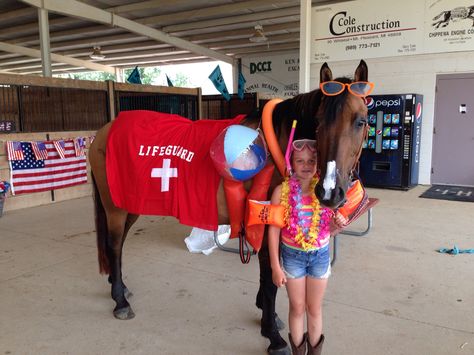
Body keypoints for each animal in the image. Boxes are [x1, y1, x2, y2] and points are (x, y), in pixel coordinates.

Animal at [88, 59, 370, 354]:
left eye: (361, 121)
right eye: (318, 121)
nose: (330, 191)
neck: (278, 144)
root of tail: (103, 133)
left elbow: (267, 278)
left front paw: (268, 317)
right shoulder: (264, 222)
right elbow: (269, 280)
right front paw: (273, 335)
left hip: (129, 205)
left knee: (117, 244)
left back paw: (119, 286)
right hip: (115, 208)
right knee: (114, 245)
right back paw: (120, 301)